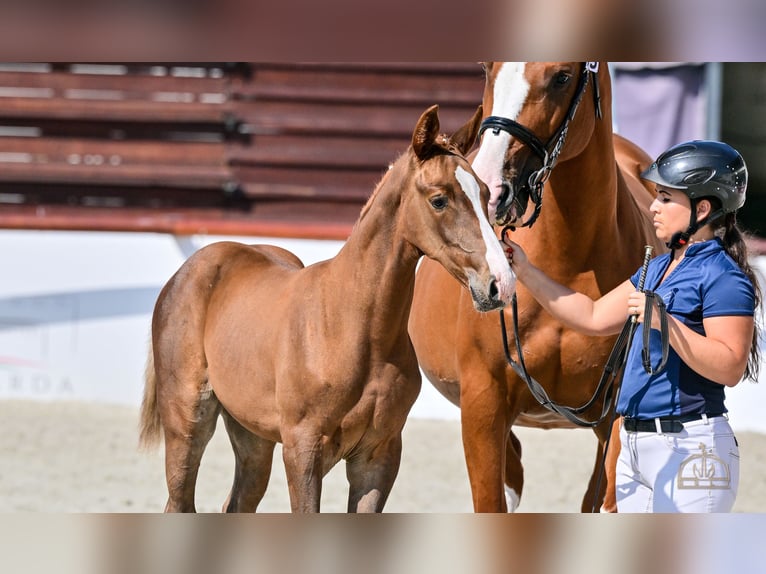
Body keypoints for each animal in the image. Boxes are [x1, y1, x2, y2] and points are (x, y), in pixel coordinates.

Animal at [138, 104, 515, 512]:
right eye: (439, 199)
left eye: (484, 193)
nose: (500, 283)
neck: (353, 326)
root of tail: (189, 268)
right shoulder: (302, 450)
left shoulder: (378, 455)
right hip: (187, 424)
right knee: (179, 500)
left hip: (252, 434)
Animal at [409, 62, 665, 512]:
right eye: (486, 69)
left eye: (562, 77)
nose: (490, 189)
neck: (566, 264)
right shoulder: (483, 406)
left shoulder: (617, 414)